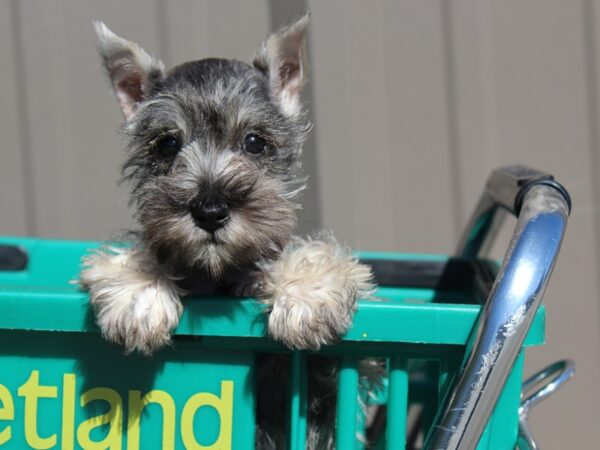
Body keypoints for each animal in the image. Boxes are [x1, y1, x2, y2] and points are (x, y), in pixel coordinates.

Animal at [80, 14, 376, 450]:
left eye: (254, 142)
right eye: (167, 144)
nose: (210, 211)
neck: (218, 273)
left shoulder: (341, 381)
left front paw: (306, 294)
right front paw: (140, 293)